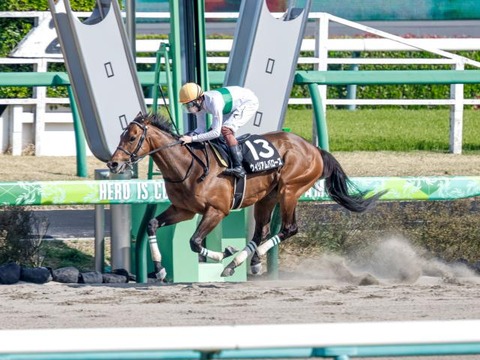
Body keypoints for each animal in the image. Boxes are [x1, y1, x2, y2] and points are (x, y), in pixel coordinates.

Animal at [107, 114, 384, 280]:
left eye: (132, 137)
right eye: (121, 135)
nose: (113, 164)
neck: (188, 166)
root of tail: (313, 148)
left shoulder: (217, 211)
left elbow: (195, 242)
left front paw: (223, 253)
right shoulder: (183, 210)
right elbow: (152, 225)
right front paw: (161, 269)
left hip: (289, 190)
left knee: (289, 228)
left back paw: (240, 261)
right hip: (267, 197)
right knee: (261, 231)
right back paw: (249, 262)